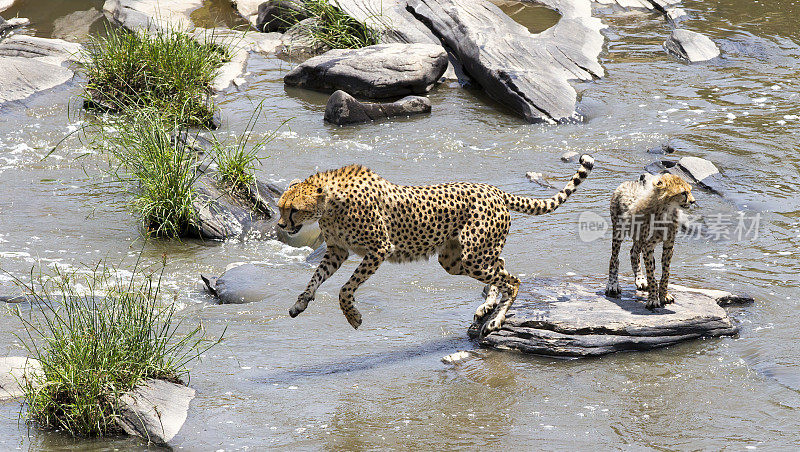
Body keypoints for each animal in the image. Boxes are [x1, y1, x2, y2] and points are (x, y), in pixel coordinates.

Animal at [276, 156, 592, 336]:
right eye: (280, 207)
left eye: (293, 210)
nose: (280, 225)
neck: (329, 203)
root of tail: (494, 190)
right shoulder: (336, 251)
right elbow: (315, 278)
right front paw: (300, 303)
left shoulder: (379, 249)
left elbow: (345, 289)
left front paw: (353, 316)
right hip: (456, 259)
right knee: (500, 266)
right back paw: (487, 305)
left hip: (471, 257)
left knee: (512, 280)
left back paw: (496, 319)